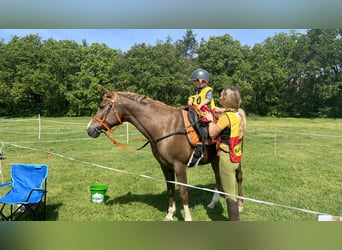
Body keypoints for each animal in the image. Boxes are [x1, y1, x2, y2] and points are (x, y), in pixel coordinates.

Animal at [87, 87, 244, 221]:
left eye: (102, 106)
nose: (89, 129)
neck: (165, 126)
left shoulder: (179, 167)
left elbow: (183, 192)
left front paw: (187, 218)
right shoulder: (165, 166)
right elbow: (170, 189)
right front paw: (170, 214)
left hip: (234, 157)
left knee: (238, 178)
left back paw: (240, 205)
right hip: (215, 159)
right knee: (218, 177)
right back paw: (213, 203)